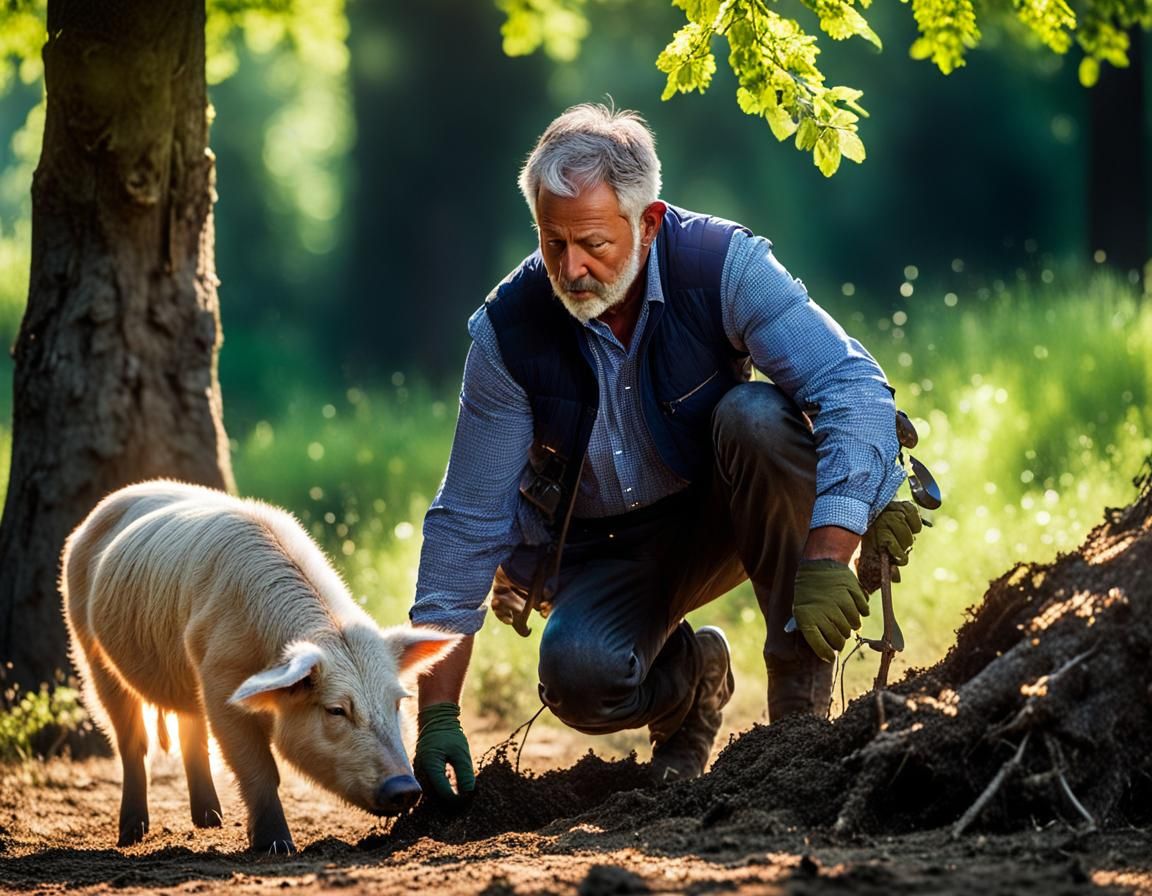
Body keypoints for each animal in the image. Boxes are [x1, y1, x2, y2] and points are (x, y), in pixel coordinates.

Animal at [60, 479, 458, 854]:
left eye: (397, 703)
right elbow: (258, 767)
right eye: (336, 710)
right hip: (89, 650)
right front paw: (278, 846)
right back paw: (131, 835)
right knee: (131, 739)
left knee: (190, 728)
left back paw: (210, 821)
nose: (405, 788)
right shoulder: (220, 679)